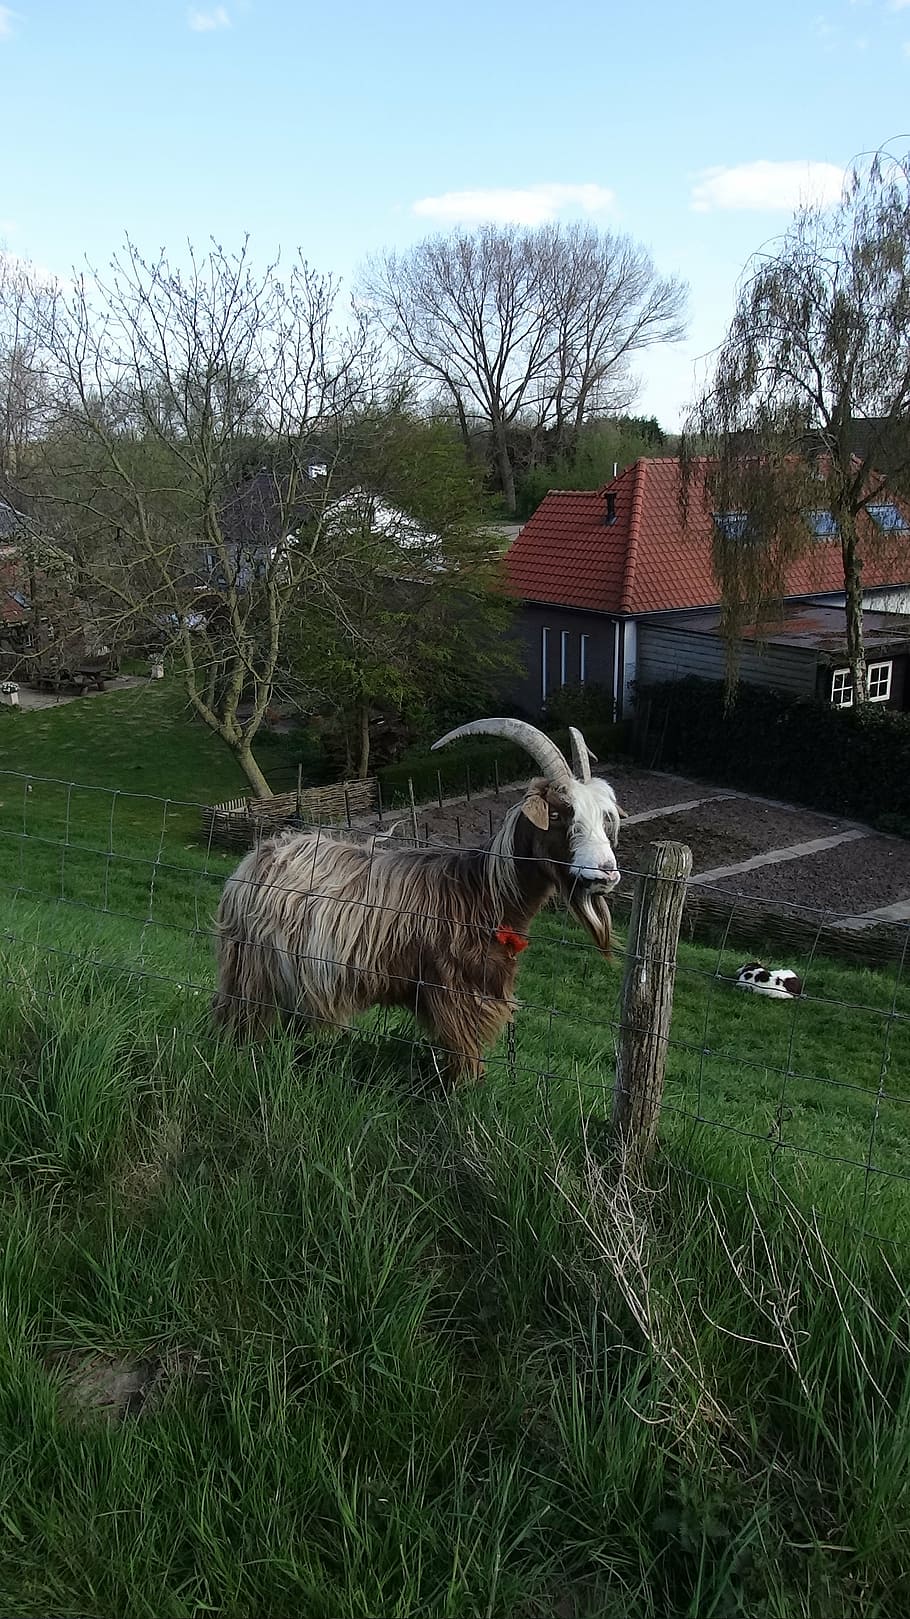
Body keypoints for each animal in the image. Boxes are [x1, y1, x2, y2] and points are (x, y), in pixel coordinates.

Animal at [212, 719, 623, 1084]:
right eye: (557, 813)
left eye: (604, 818)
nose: (606, 873)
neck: (483, 895)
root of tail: (259, 856)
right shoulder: (454, 997)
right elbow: (466, 1068)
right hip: (251, 973)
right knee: (241, 1024)